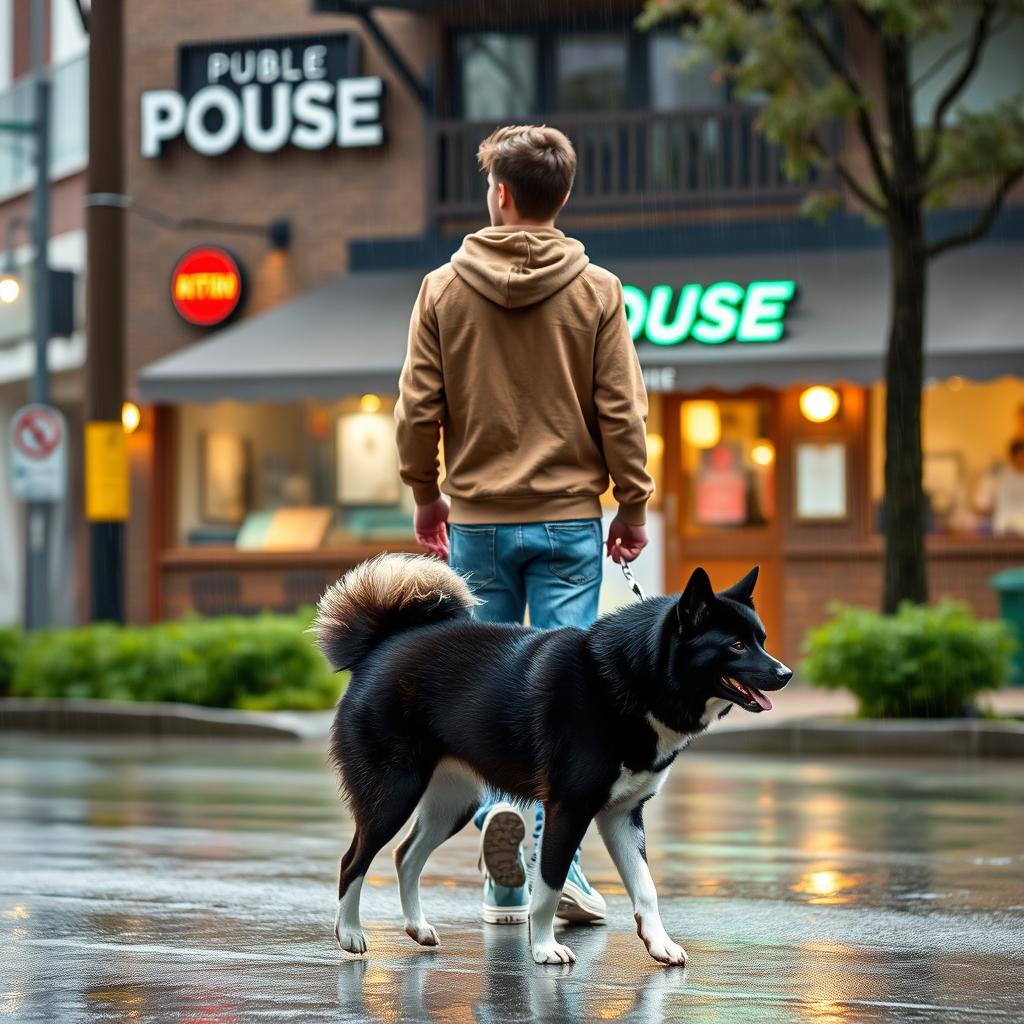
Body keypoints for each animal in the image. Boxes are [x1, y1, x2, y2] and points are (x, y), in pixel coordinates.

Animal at [313, 548, 790, 962]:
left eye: (761, 640)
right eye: (736, 646)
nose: (785, 673)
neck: (634, 677)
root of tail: (381, 647)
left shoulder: (622, 815)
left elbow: (646, 887)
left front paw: (660, 944)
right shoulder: (569, 807)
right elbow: (548, 887)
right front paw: (544, 948)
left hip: (453, 802)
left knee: (405, 856)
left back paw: (417, 927)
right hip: (393, 794)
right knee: (354, 861)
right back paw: (350, 933)